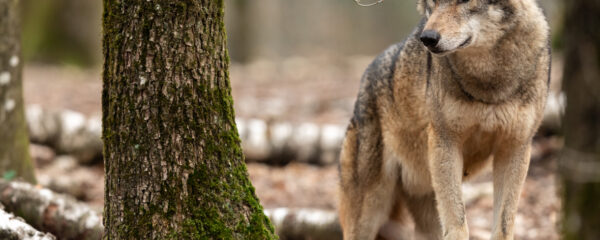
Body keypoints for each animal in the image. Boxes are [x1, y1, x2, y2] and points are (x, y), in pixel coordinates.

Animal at [338, 0, 548, 239]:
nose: (427, 38)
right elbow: (457, 222)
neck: (489, 85)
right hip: (369, 212)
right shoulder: (445, 141)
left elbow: (503, 226)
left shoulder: (515, 147)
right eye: (431, 3)